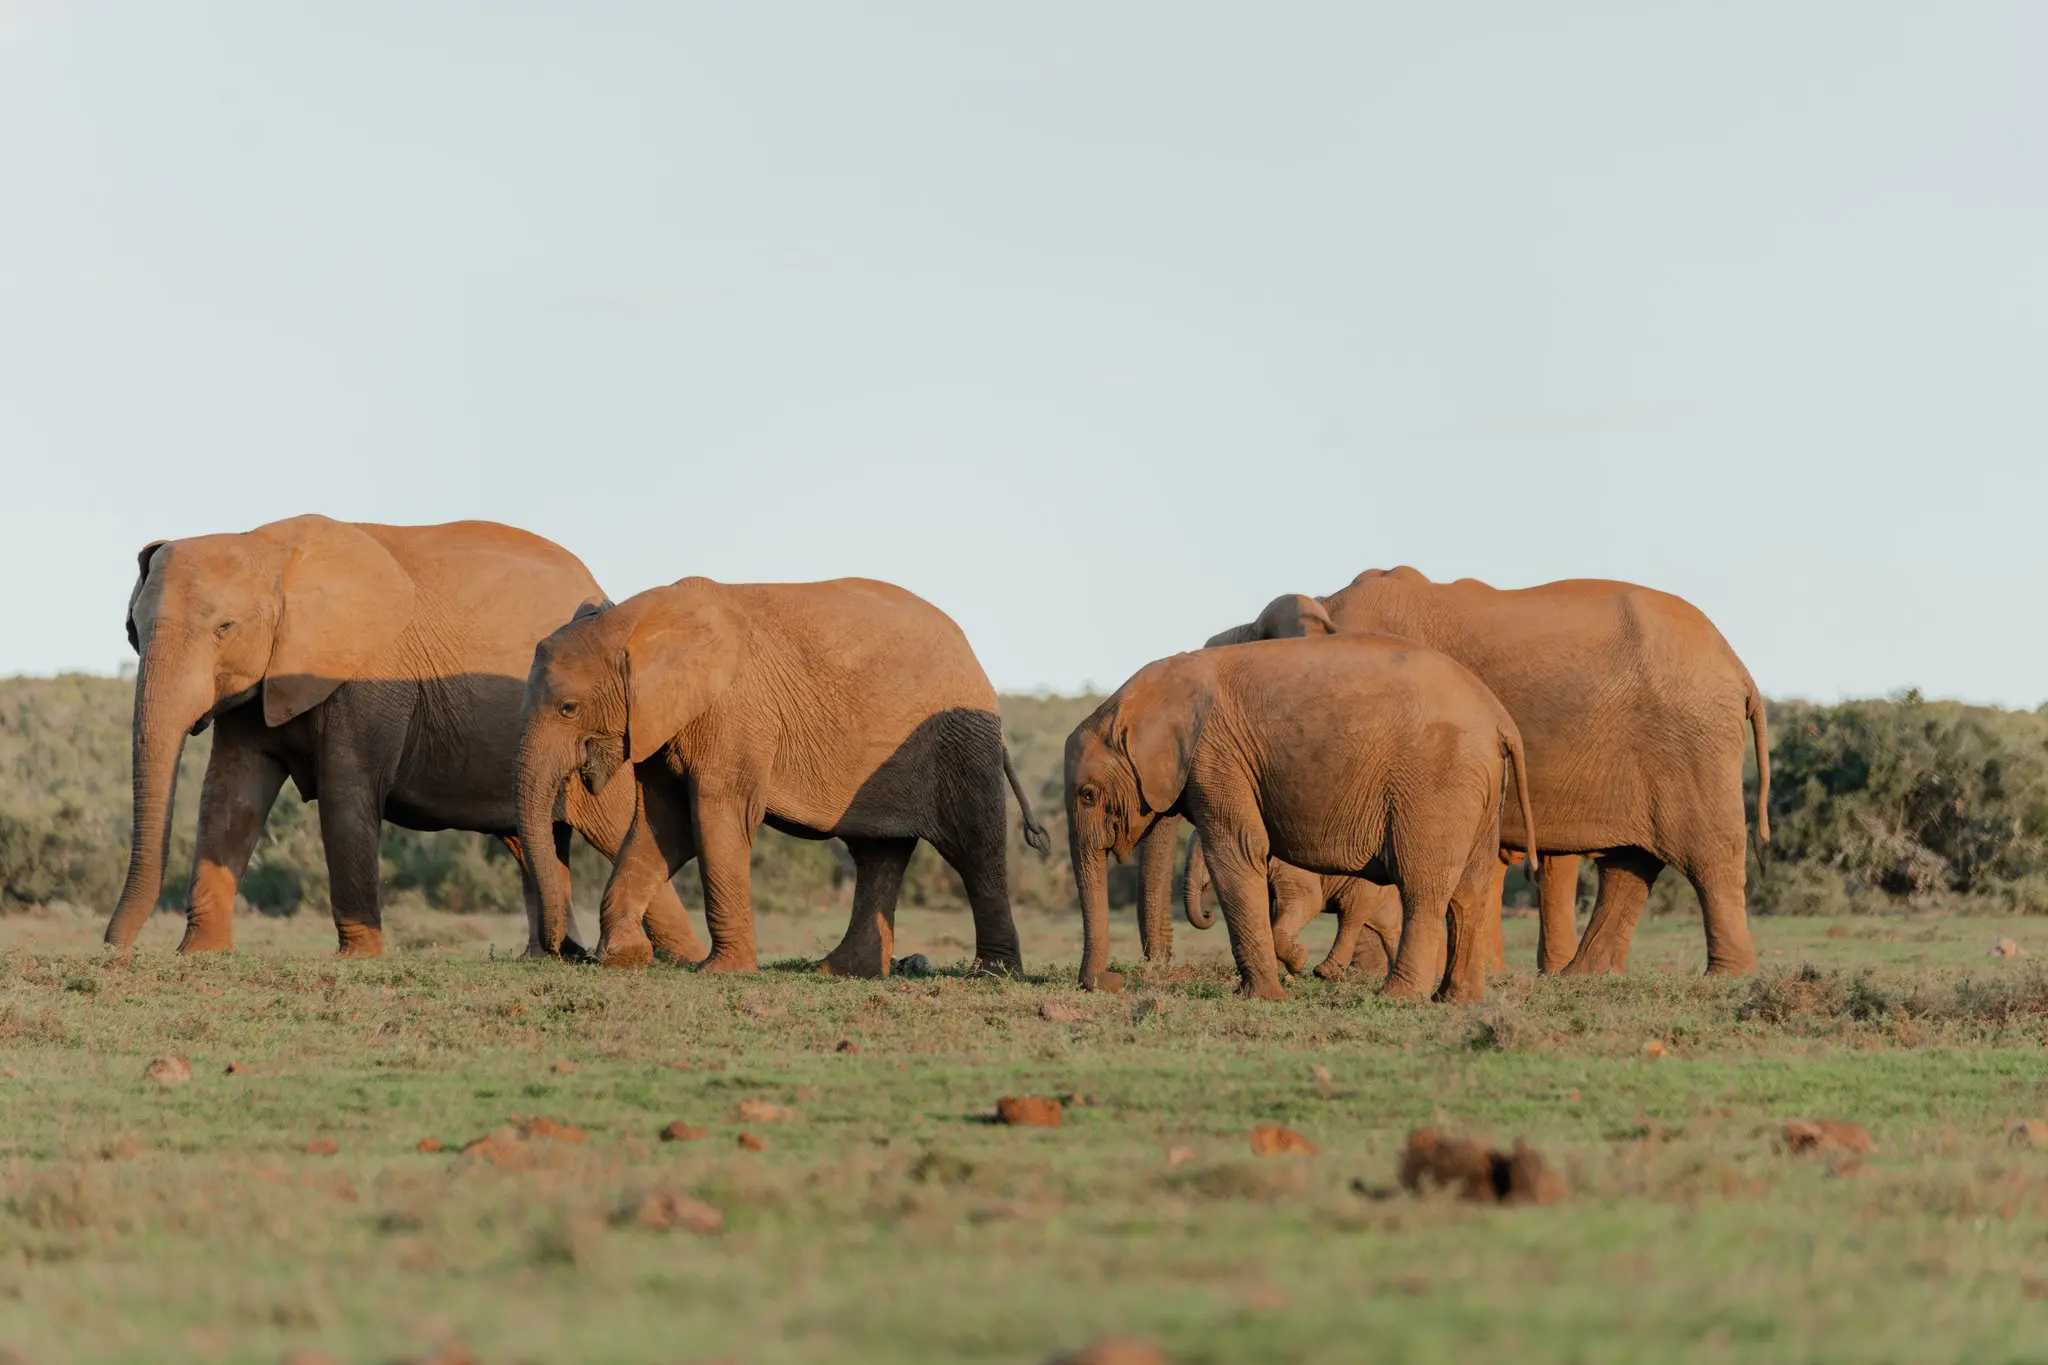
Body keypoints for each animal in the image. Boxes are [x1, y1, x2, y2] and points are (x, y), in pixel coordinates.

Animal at [104, 514, 705, 960]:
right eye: (132, 630)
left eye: (224, 629)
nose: (115, 950)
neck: (269, 549)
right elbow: (229, 795)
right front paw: (201, 955)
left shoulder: (368, 672)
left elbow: (346, 793)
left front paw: (359, 959)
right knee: (532, 839)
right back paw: (552, 957)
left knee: (616, 826)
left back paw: (674, 959)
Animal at [513, 575, 1050, 975]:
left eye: (568, 708)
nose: (564, 953)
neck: (632, 619)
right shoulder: (662, 720)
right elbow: (662, 826)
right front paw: (624, 959)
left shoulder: (734, 714)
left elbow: (718, 816)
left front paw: (722, 972)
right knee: (879, 853)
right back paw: (838, 972)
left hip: (960, 741)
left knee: (974, 849)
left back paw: (992, 974)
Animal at [1065, 633, 1539, 1002]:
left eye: (1087, 794)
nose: (1111, 981)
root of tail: (1501, 720)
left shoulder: (1217, 756)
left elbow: (1237, 851)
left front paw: (1265, 995)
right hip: (1480, 786)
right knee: (1469, 892)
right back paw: (1454, 1000)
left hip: (1438, 782)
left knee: (1423, 886)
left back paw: (1397, 997)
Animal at [1207, 569, 1770, 976]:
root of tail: (1740, 668)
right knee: (1630, 865)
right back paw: (1581, 978)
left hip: (1692, 740)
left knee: (1708, 854)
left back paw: (1725, 978)